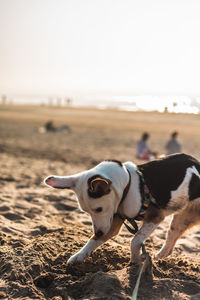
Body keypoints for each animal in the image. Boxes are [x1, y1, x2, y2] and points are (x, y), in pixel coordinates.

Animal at [45, 154, 200, 264]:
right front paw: (79, 256)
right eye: (86, 212)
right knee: (170, 242)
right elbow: (93, 240)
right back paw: (158, 258)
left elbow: (135, 241)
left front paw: (135, 262)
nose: (99, 232)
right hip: (181, 220)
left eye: (99, 209)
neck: (129, 184)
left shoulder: (155, 217)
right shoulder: (113, 221)